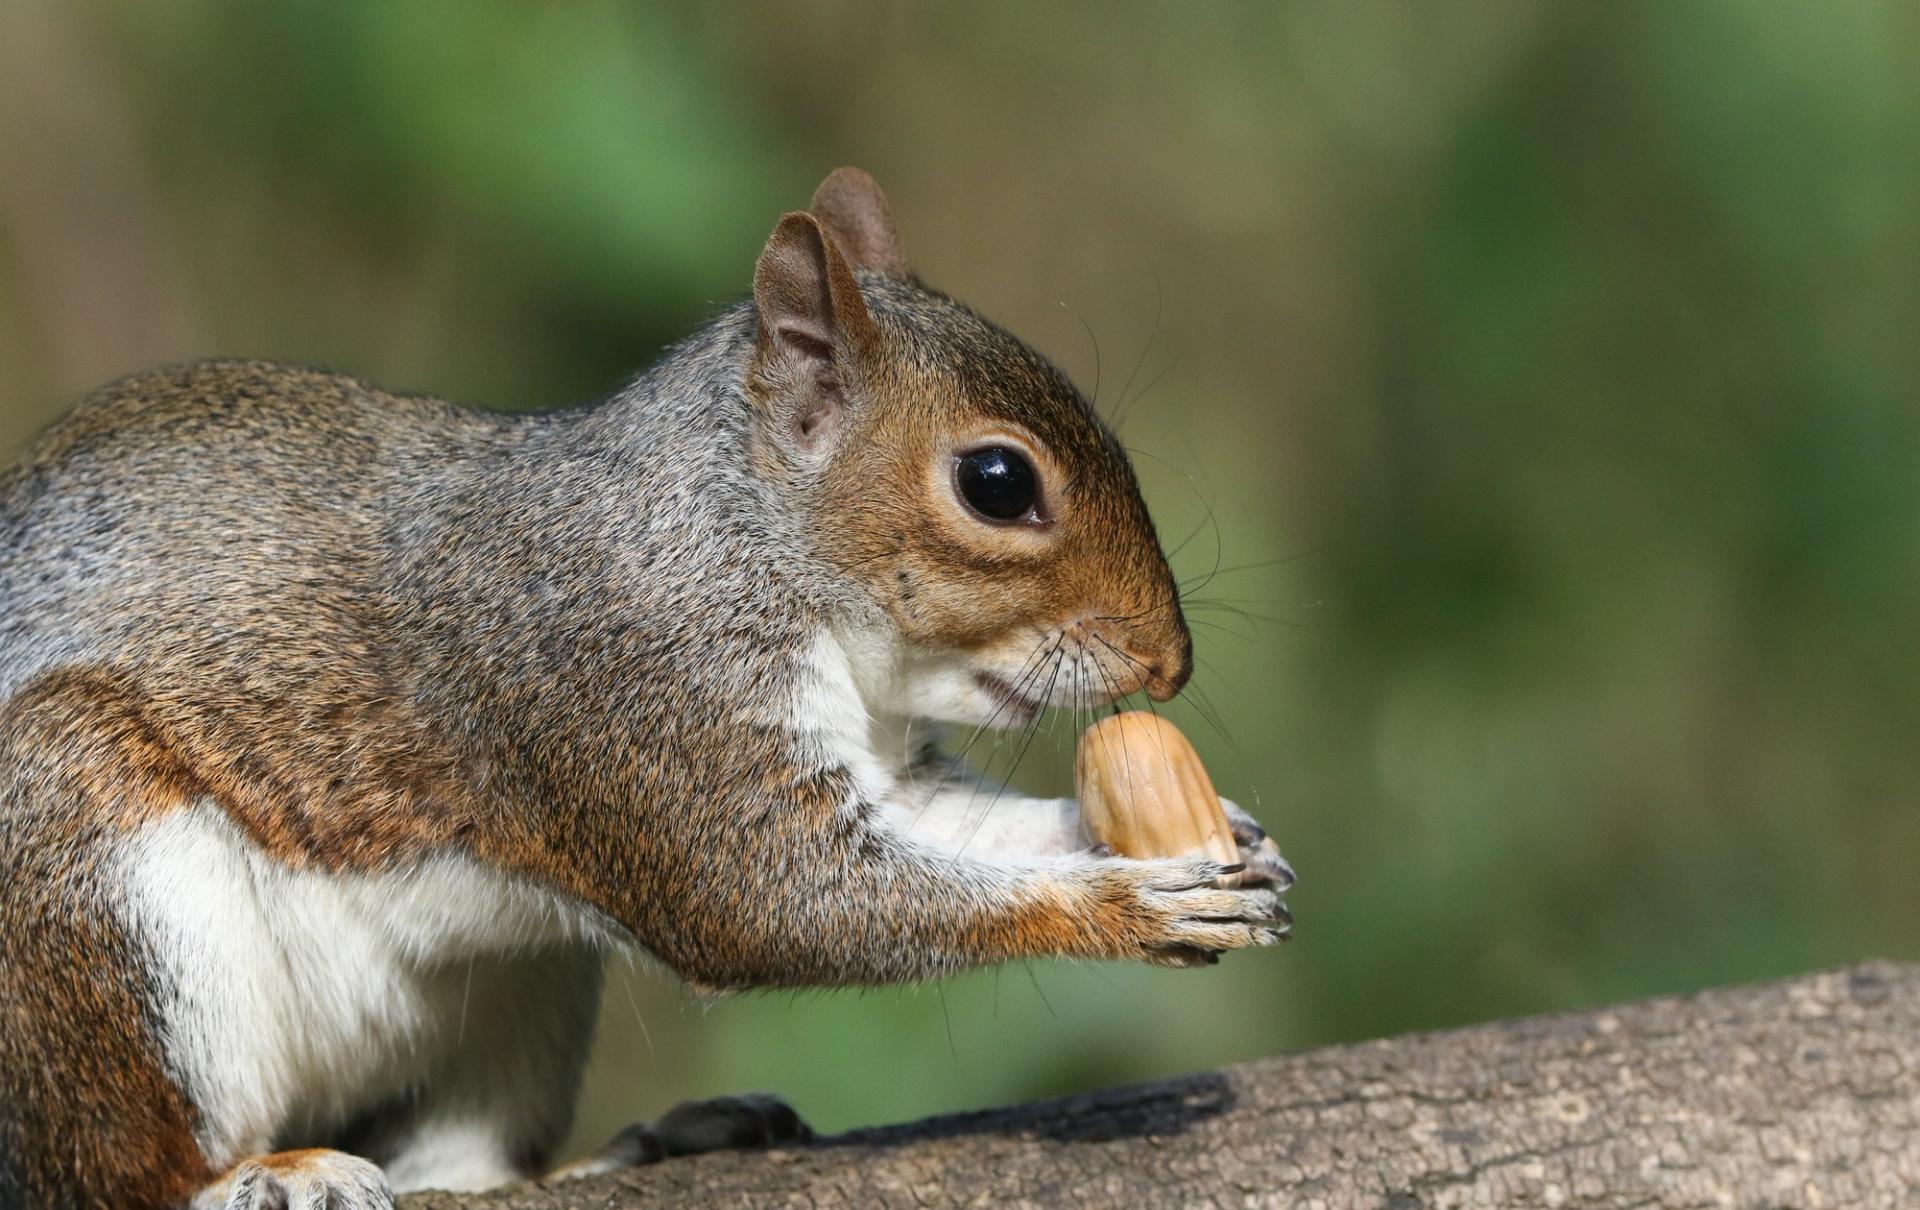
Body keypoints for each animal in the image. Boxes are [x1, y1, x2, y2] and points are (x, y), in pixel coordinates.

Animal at [0, 168, 1293, 1209]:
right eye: (996, 481)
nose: (1170, 661)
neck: (746, 536)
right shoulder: (636, 692)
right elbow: (772, 898)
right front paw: (1129, 905)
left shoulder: (867, 759)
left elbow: (958, 829)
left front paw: (1224, 843)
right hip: (81, 868)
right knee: (115, 1168)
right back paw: (259, 1174)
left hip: (510, 993)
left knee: (458, 1164)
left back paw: (638, 1148)